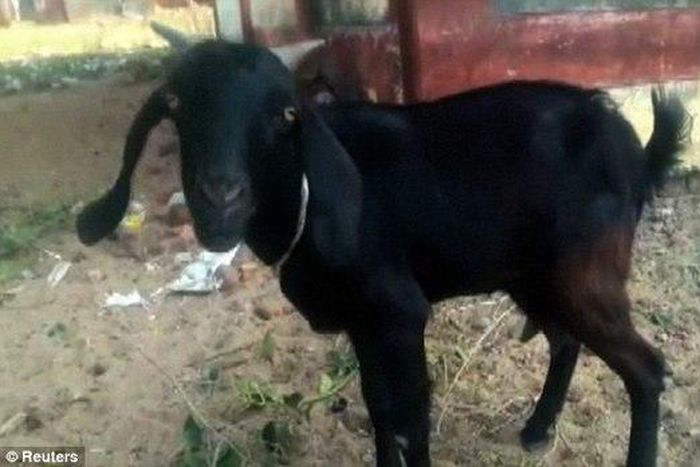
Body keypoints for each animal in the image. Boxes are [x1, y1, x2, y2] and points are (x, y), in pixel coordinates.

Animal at [76, 29, 688, 467]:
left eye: (283, 115)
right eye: (177, 105)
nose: (220, 194)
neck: (307, 195)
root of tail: (633, 148)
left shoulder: (397, 313)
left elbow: (407, 418)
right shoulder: (363, 323)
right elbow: (379, 411)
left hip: (584, 273)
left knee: (646, 368)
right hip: (533, 275)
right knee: (565, 340)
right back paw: (537, 430)